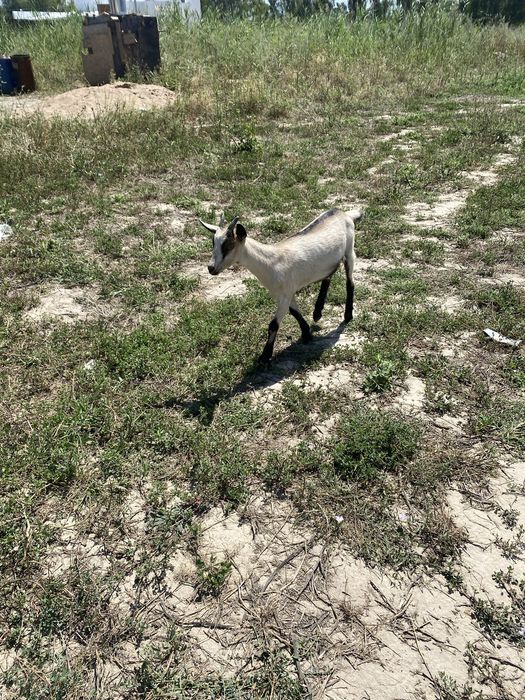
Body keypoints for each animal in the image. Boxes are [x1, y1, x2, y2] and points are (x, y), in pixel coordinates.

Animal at [199, 208, 361, 363]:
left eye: (228, 245)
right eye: (213, 243)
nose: (211, 268)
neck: (271, 261)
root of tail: (343, 213)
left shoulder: (285, 294)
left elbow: (273, 325)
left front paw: (265, 356)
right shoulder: (285, 293)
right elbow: (295, 312)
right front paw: (307, 334)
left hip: (349, 252)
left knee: (350, 283)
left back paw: (347, 316)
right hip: (329, 263)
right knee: (328, 277)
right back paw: (317, 313)